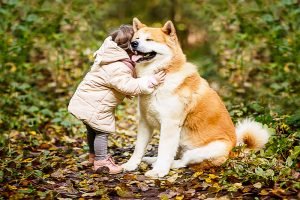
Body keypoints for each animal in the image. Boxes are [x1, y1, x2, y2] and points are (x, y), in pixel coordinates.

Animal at [121, 18, 270, 177]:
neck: (162, 76)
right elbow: (139, 148)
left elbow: (164, 151)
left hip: (206, 149)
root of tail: (233, 151)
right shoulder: (145, 122)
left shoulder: (170, 125)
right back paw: (151, 160)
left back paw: (164, 164)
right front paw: (130, 165)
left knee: (183, 161)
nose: (133, 44)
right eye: (136, 38)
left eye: (149, 39)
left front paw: (159, 171)